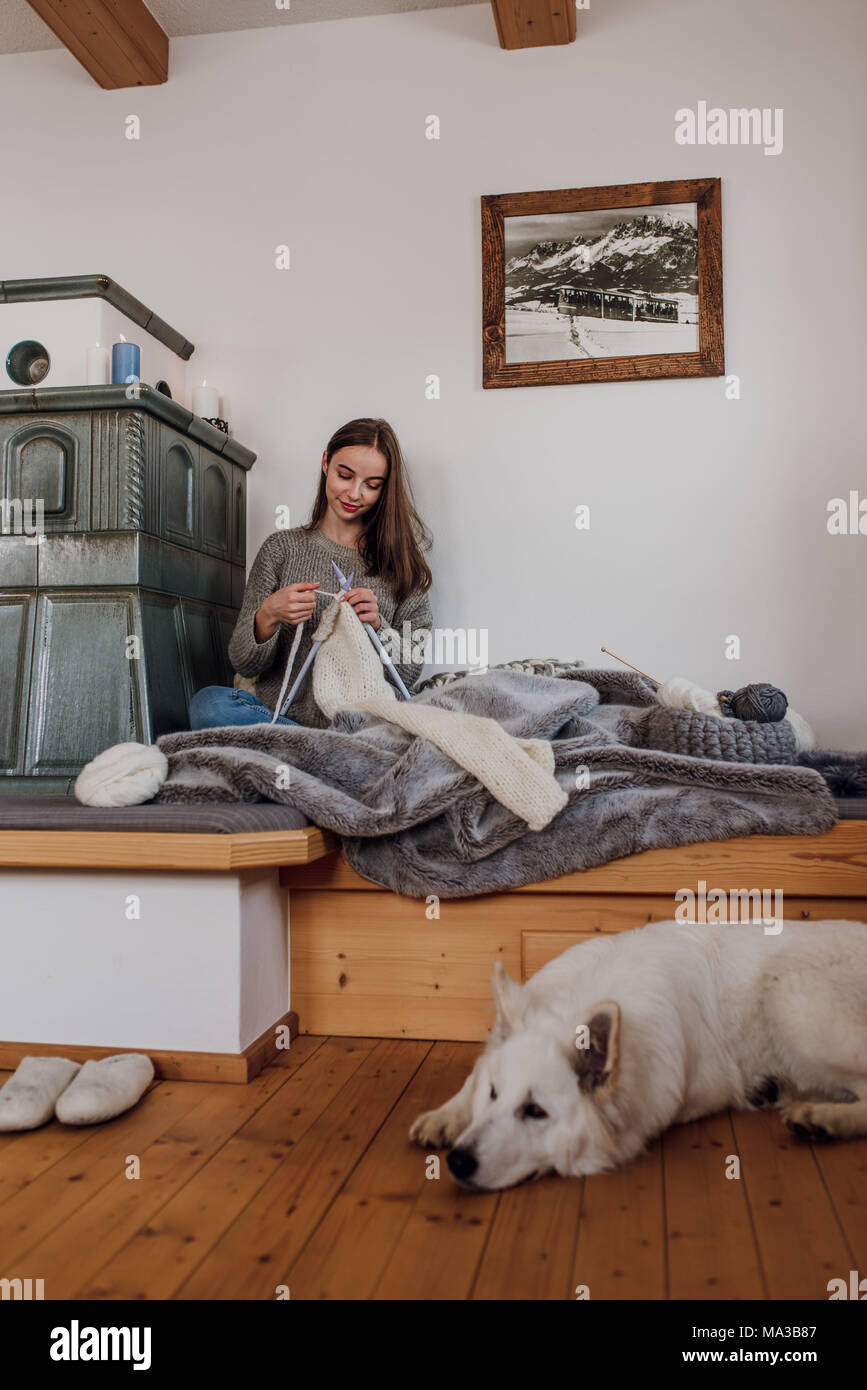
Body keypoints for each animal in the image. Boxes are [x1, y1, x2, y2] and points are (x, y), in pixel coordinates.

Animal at [408, 917, 867, 1189]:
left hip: (792, 1004)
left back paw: (821, 1118)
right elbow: (472, 1077)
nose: (457, 1162)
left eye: (536, 1112)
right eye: (494, 1095)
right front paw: (445, 1116)